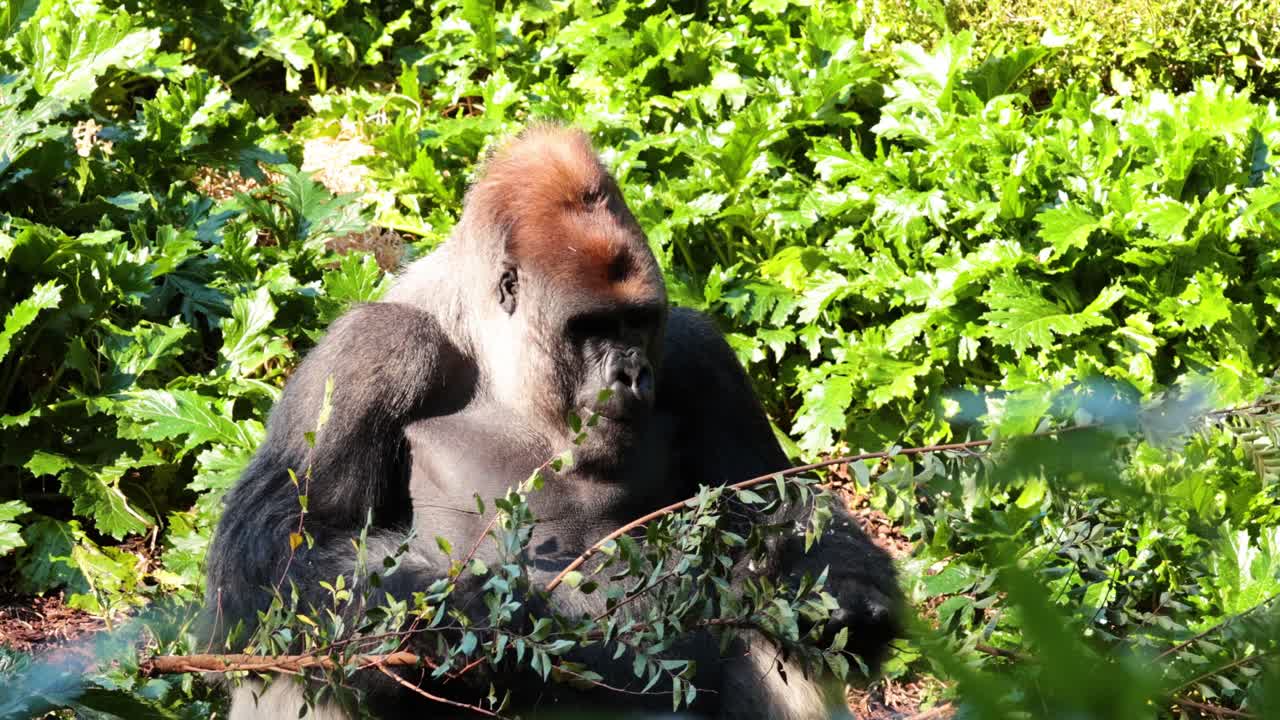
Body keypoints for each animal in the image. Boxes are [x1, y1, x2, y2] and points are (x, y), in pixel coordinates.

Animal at [204, 125, 902, 719]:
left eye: (636, 322)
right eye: (589, 327)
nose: (631, 373)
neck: (495, 362)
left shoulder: (700, 355)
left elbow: (778, 512)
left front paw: (836, 592)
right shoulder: (372, 351)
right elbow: (280, 549)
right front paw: (467, 615)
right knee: (306, 652)